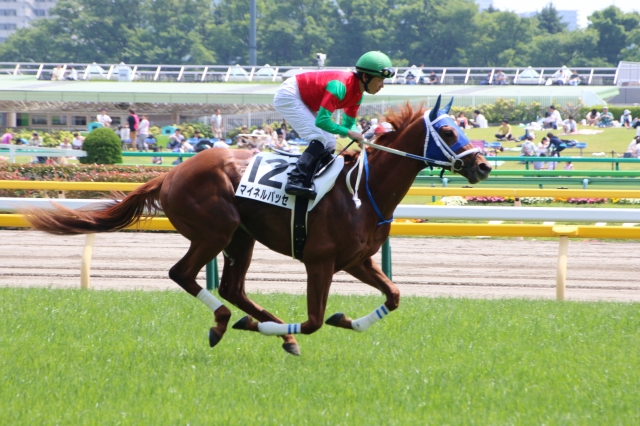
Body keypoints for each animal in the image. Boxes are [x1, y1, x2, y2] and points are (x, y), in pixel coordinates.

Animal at [24, 96, 492, 356]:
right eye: (448, 131)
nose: (484, 166)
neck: (364, 189)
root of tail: (170, 174)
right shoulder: (319, 261)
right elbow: (314, 320)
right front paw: (284, 328)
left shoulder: (357, 260)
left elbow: (393, 296)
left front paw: (346, 320)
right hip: (216, 230)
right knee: (185, 274)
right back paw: (227, 323)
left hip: (241, 238)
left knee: (232, 287)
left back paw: (264, 329)